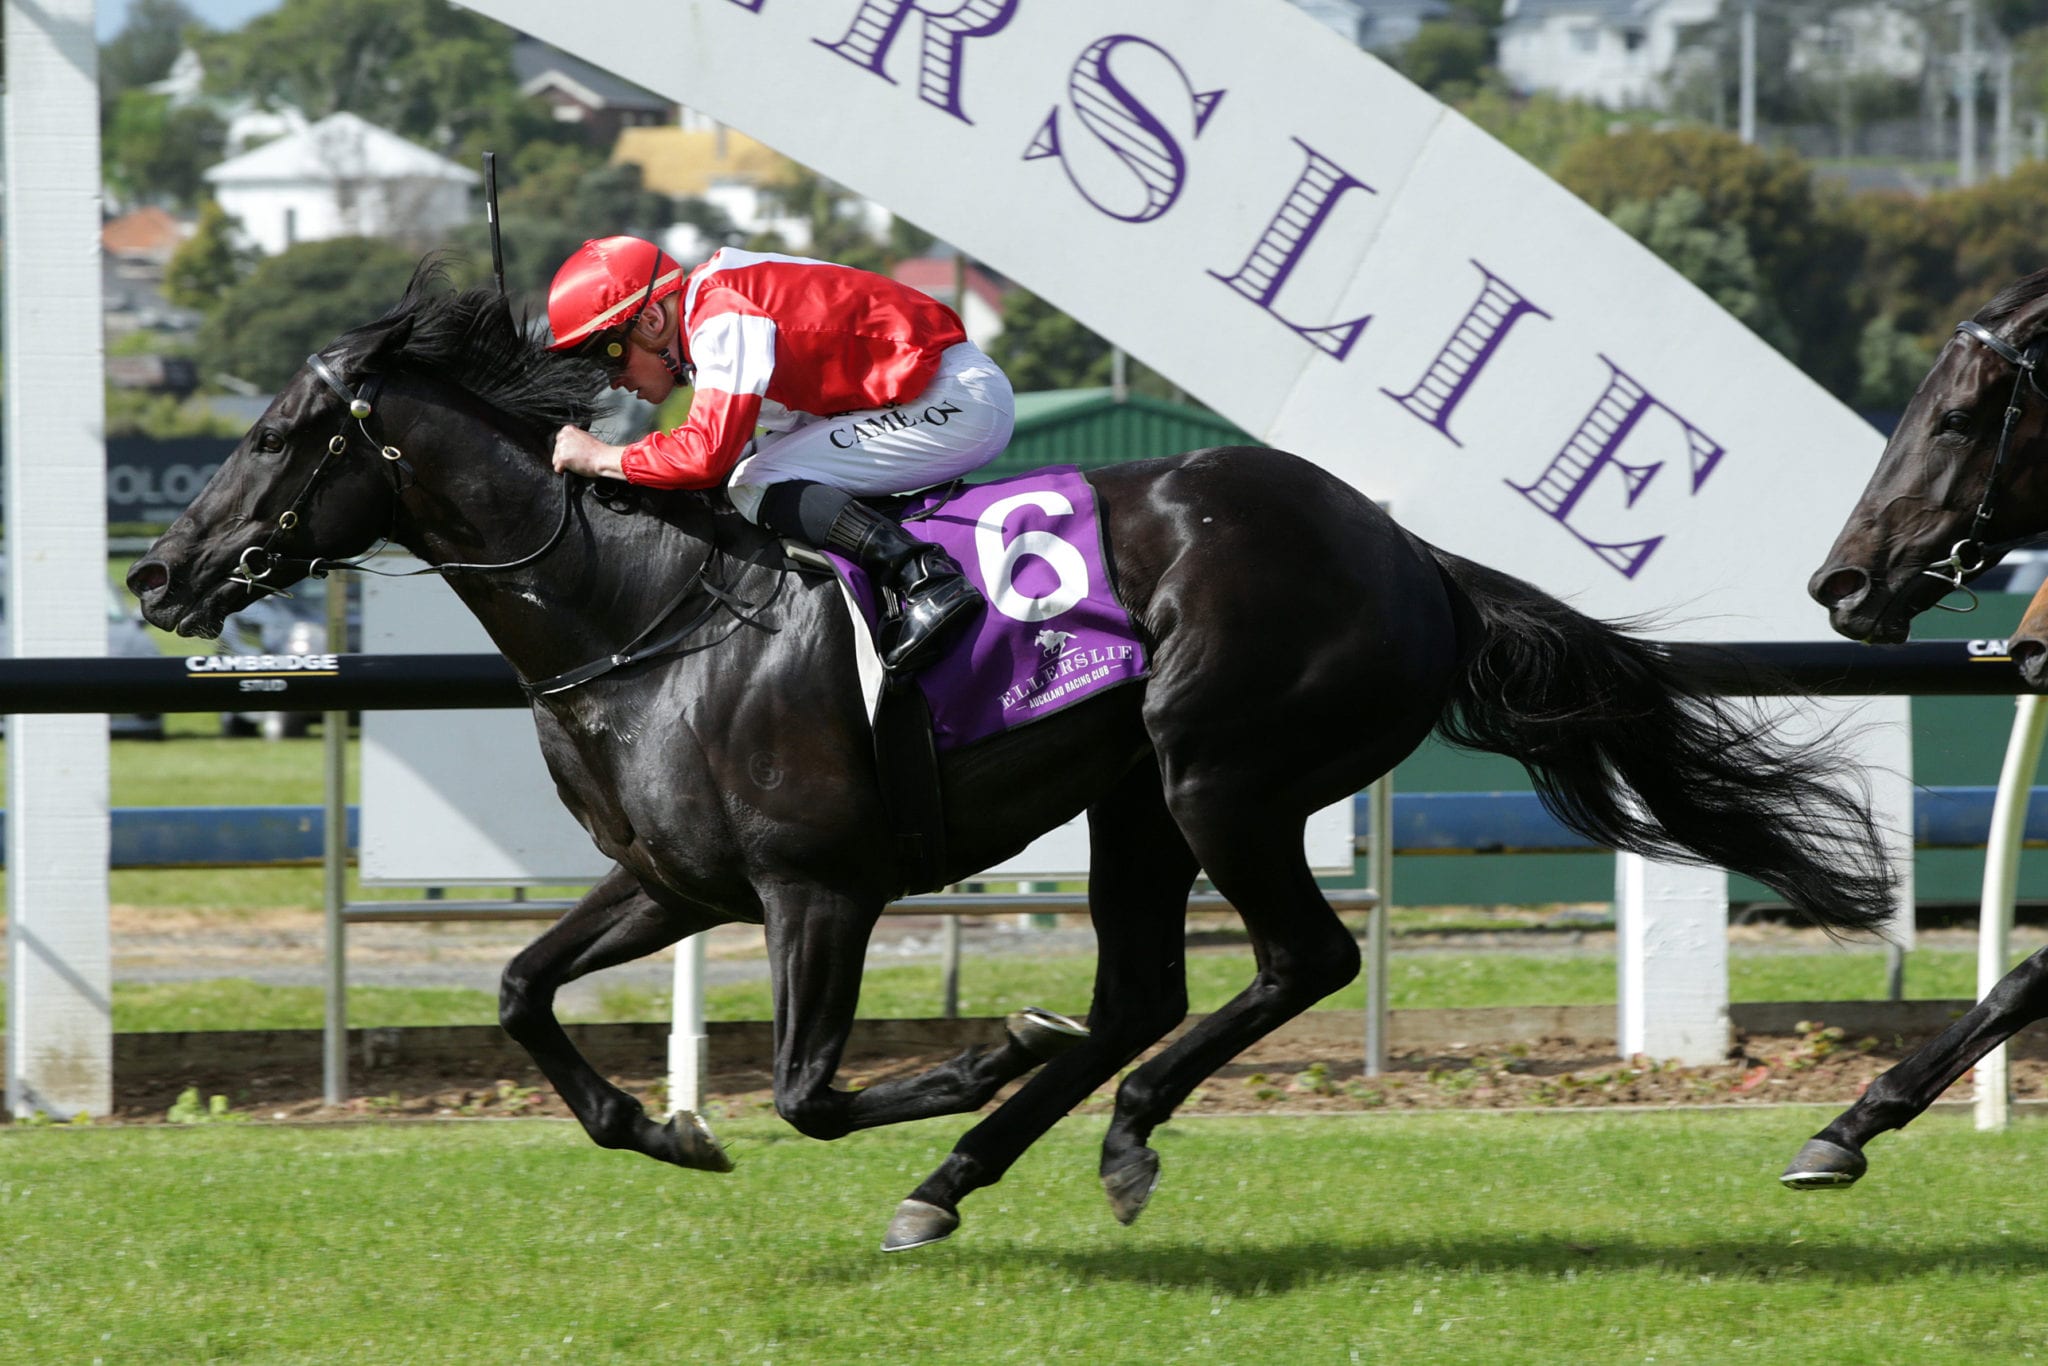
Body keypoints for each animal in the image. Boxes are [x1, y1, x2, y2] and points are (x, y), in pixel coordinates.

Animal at [128, 266, 1892, 1253]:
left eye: (280, 436)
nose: (156, 573)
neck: (646, 606)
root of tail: (1412, 554)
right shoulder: (671, 882)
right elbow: (516, 992)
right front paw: (664, 1125)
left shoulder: (816, 886)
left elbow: (809, 1089)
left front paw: (967, 1055)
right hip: (1132, 800)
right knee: (1142, 991)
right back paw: (969, 1170)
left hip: (1216, 772)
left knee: (1294, 960)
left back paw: (1093, 1130)